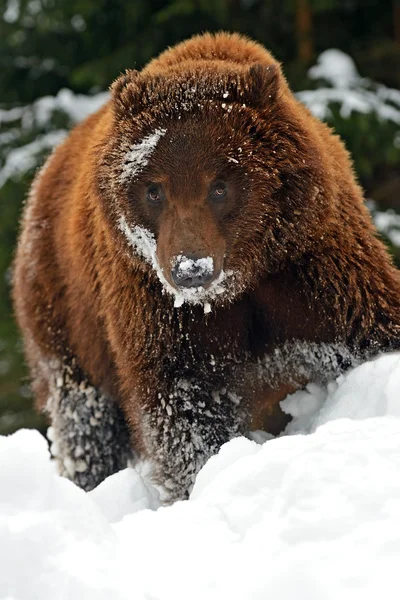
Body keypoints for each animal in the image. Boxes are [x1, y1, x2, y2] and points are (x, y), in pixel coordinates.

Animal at [12, 32, 400, 502]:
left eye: (220, 186)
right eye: (154, 189)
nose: (190, 268)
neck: (239, 282)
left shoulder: (309, 261)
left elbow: (367, 325)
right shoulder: (154, 300)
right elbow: (182, 401)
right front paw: (204, 476)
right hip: (65, 311)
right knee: (85, 416)